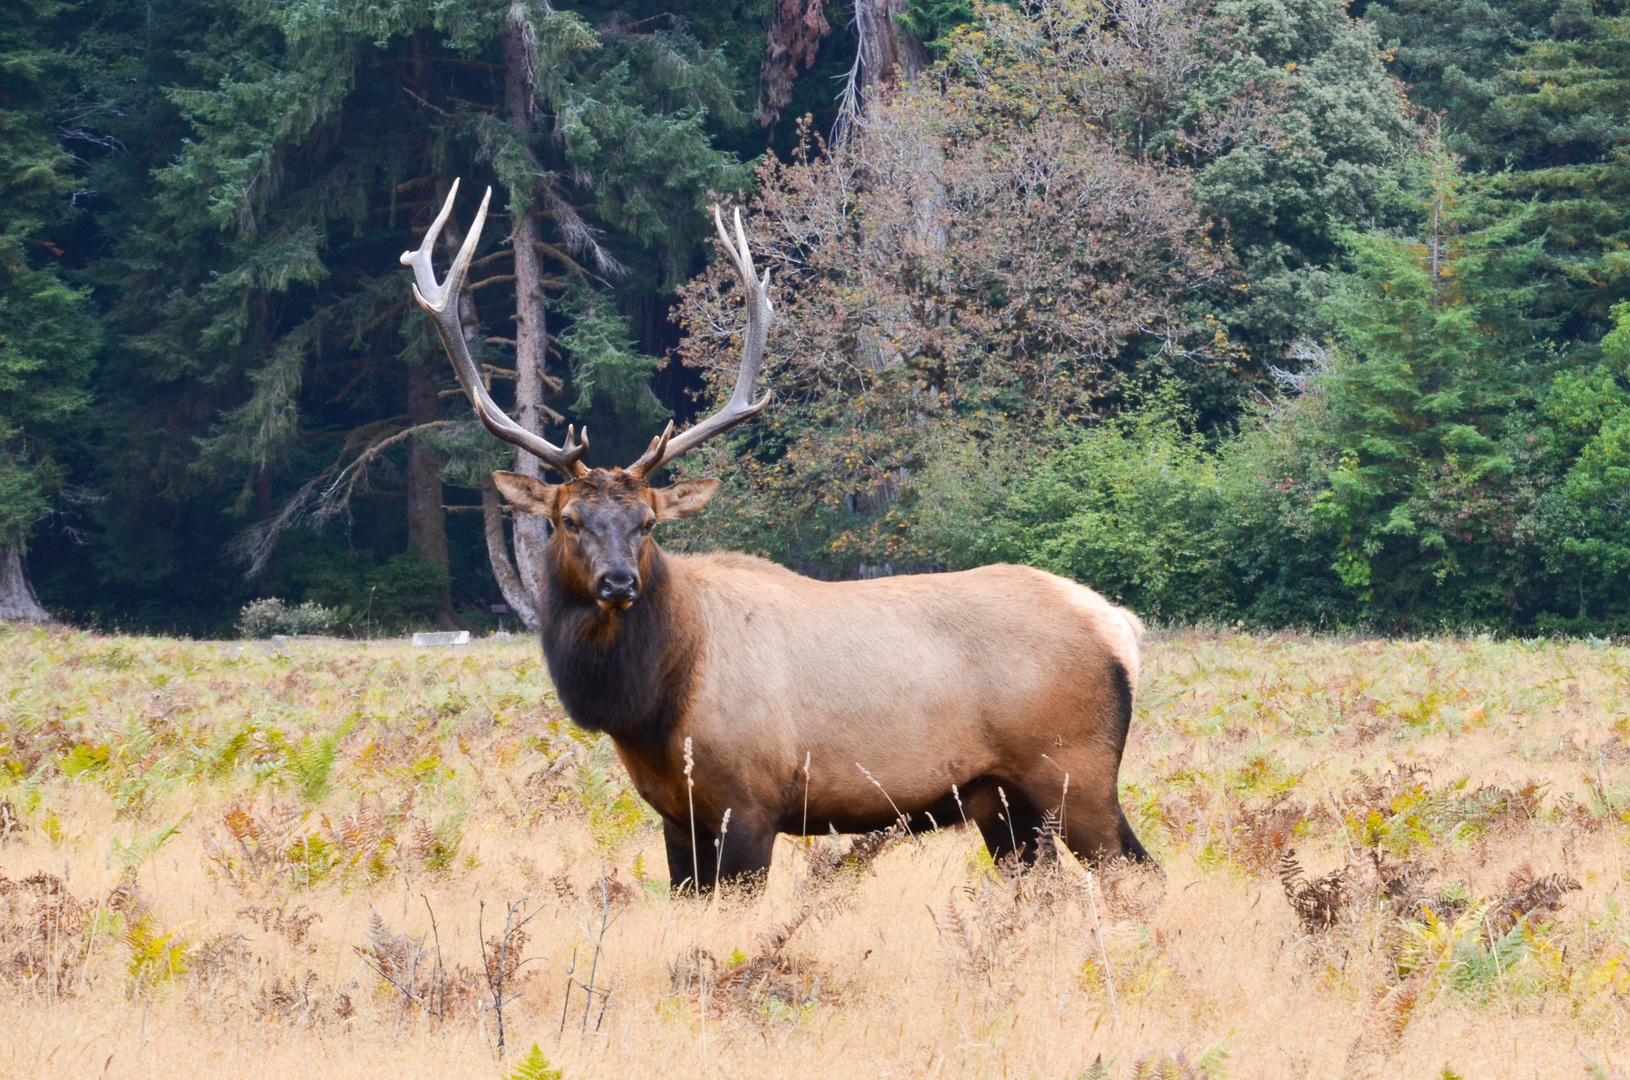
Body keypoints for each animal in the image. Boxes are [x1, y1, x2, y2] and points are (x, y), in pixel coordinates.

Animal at [404, 181, 1147, 892]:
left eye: (648, 522)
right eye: (568, 520)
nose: (619, 581)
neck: (654, 707)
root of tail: (1118, 626)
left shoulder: (751, 802)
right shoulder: (676, 814)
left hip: (1075, 770)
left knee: (1137, 875)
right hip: (1000, 799)